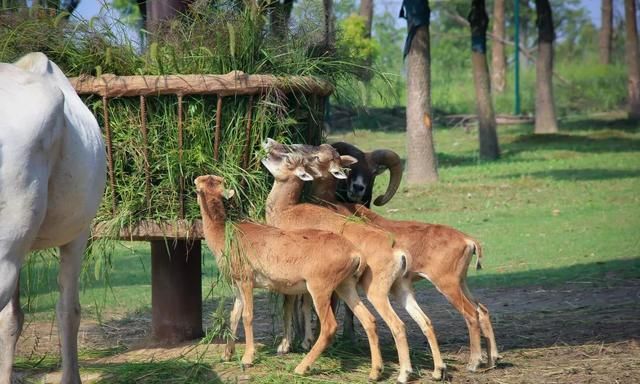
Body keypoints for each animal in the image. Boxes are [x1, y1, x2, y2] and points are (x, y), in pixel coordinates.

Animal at [196, 176, 384, 380]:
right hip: (346, 286)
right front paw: (226, 354)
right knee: (369, 320)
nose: (195, 180)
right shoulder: (236, 286)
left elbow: (247, 316)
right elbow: (234, 316)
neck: (224, 233)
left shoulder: (246, 282)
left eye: (199, 185)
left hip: (320, 289)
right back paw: (375, 372)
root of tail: (355, 253)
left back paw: (301, 367)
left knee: (329, 326)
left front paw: (247, 358)